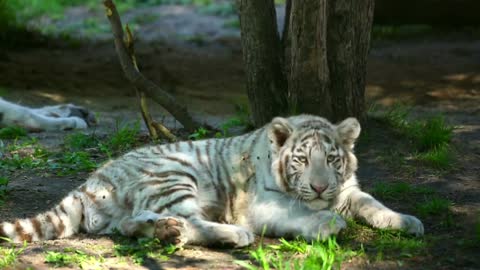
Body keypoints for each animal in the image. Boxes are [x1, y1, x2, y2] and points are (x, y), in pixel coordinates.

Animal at [0, 115, 422, 246]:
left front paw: (407, 222)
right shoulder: (260, 204)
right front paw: (326, 224)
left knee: (133, 223)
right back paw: (230, 235)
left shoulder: (348, 189)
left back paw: (165, 231)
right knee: (191, 220)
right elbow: (298, 213)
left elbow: (372, 203)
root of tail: (92, 179)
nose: (319, 187)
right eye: (302, 160)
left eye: (332, 160)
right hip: (173, 176)